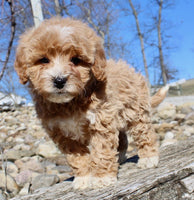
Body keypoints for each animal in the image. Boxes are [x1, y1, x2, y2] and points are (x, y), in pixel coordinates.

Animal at [14, 16, 167, 189]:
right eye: (43, 60)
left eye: (76, 60)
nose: (59, 80)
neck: (69, 103)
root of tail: (131, 70)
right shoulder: (62, 133)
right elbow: (77, 157)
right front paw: (84, 177)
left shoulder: (100, 121)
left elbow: (101, 151)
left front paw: (102, 177)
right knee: (122, 137)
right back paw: (120, 156)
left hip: (136, 110)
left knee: (144, 132)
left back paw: (148, 158)